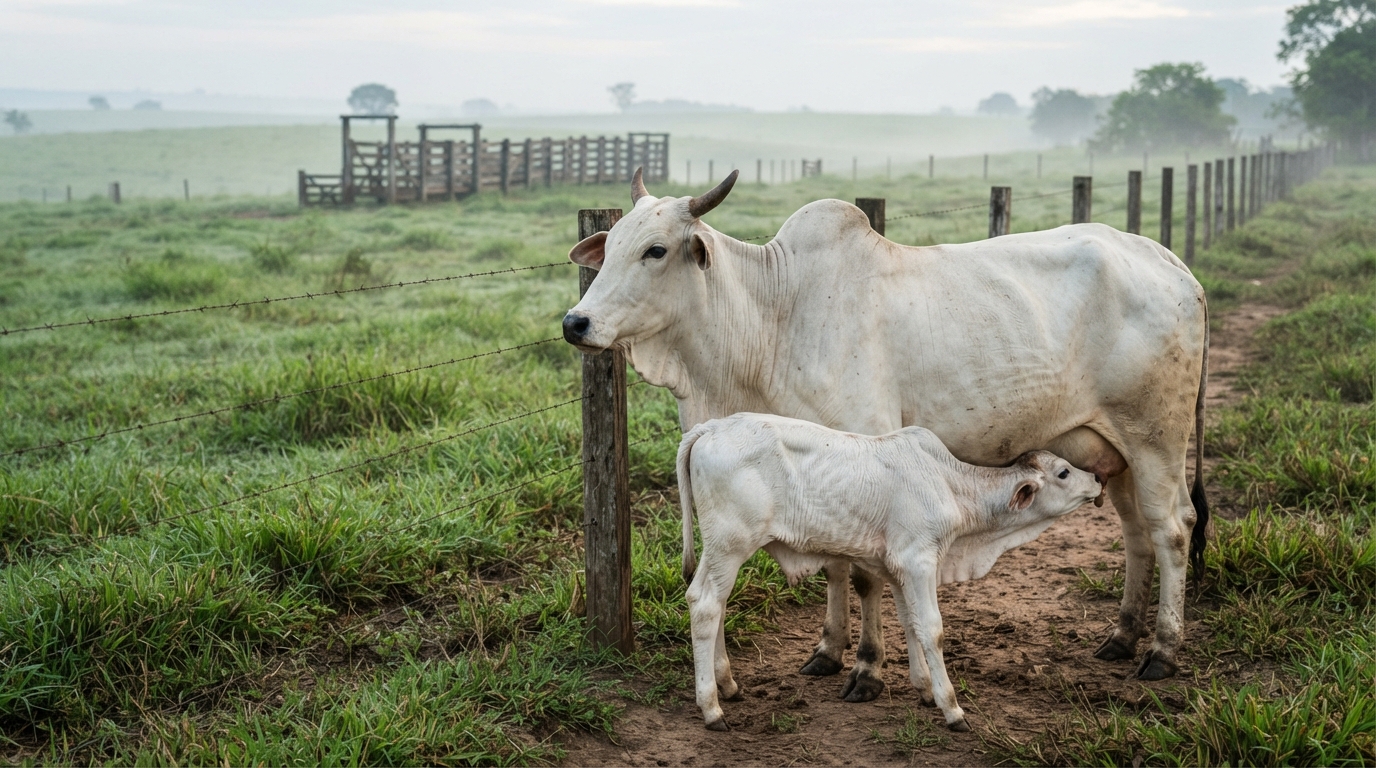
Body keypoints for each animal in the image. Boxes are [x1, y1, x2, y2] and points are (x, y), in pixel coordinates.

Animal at [562, 169, 1208, 697]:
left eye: (655, 250)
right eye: (608, 249)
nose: (576, 323)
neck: (771, 321)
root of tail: (1168, 260)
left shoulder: (866, 451)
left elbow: (864, 574)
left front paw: (868, 669)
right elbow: (834, 565)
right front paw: (828, 651)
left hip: (1156, 437)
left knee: (1172, 527)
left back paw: (1161, 650)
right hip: (1111, 450)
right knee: (1135, 532)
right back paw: (1121, 637)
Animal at [676, 413, 1104, 731]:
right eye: (1064, 473)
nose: (1098, 479)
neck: (949, 485)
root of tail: (710, 427)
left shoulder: (899, 567)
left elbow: (911, 622)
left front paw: (925, 690)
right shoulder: (919, 560)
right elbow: (932, 628)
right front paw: (952, 709)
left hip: (722, 550)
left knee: (716, 603)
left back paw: (728, 685)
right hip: (730, 543)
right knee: (704, 604)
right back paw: (712, 708)